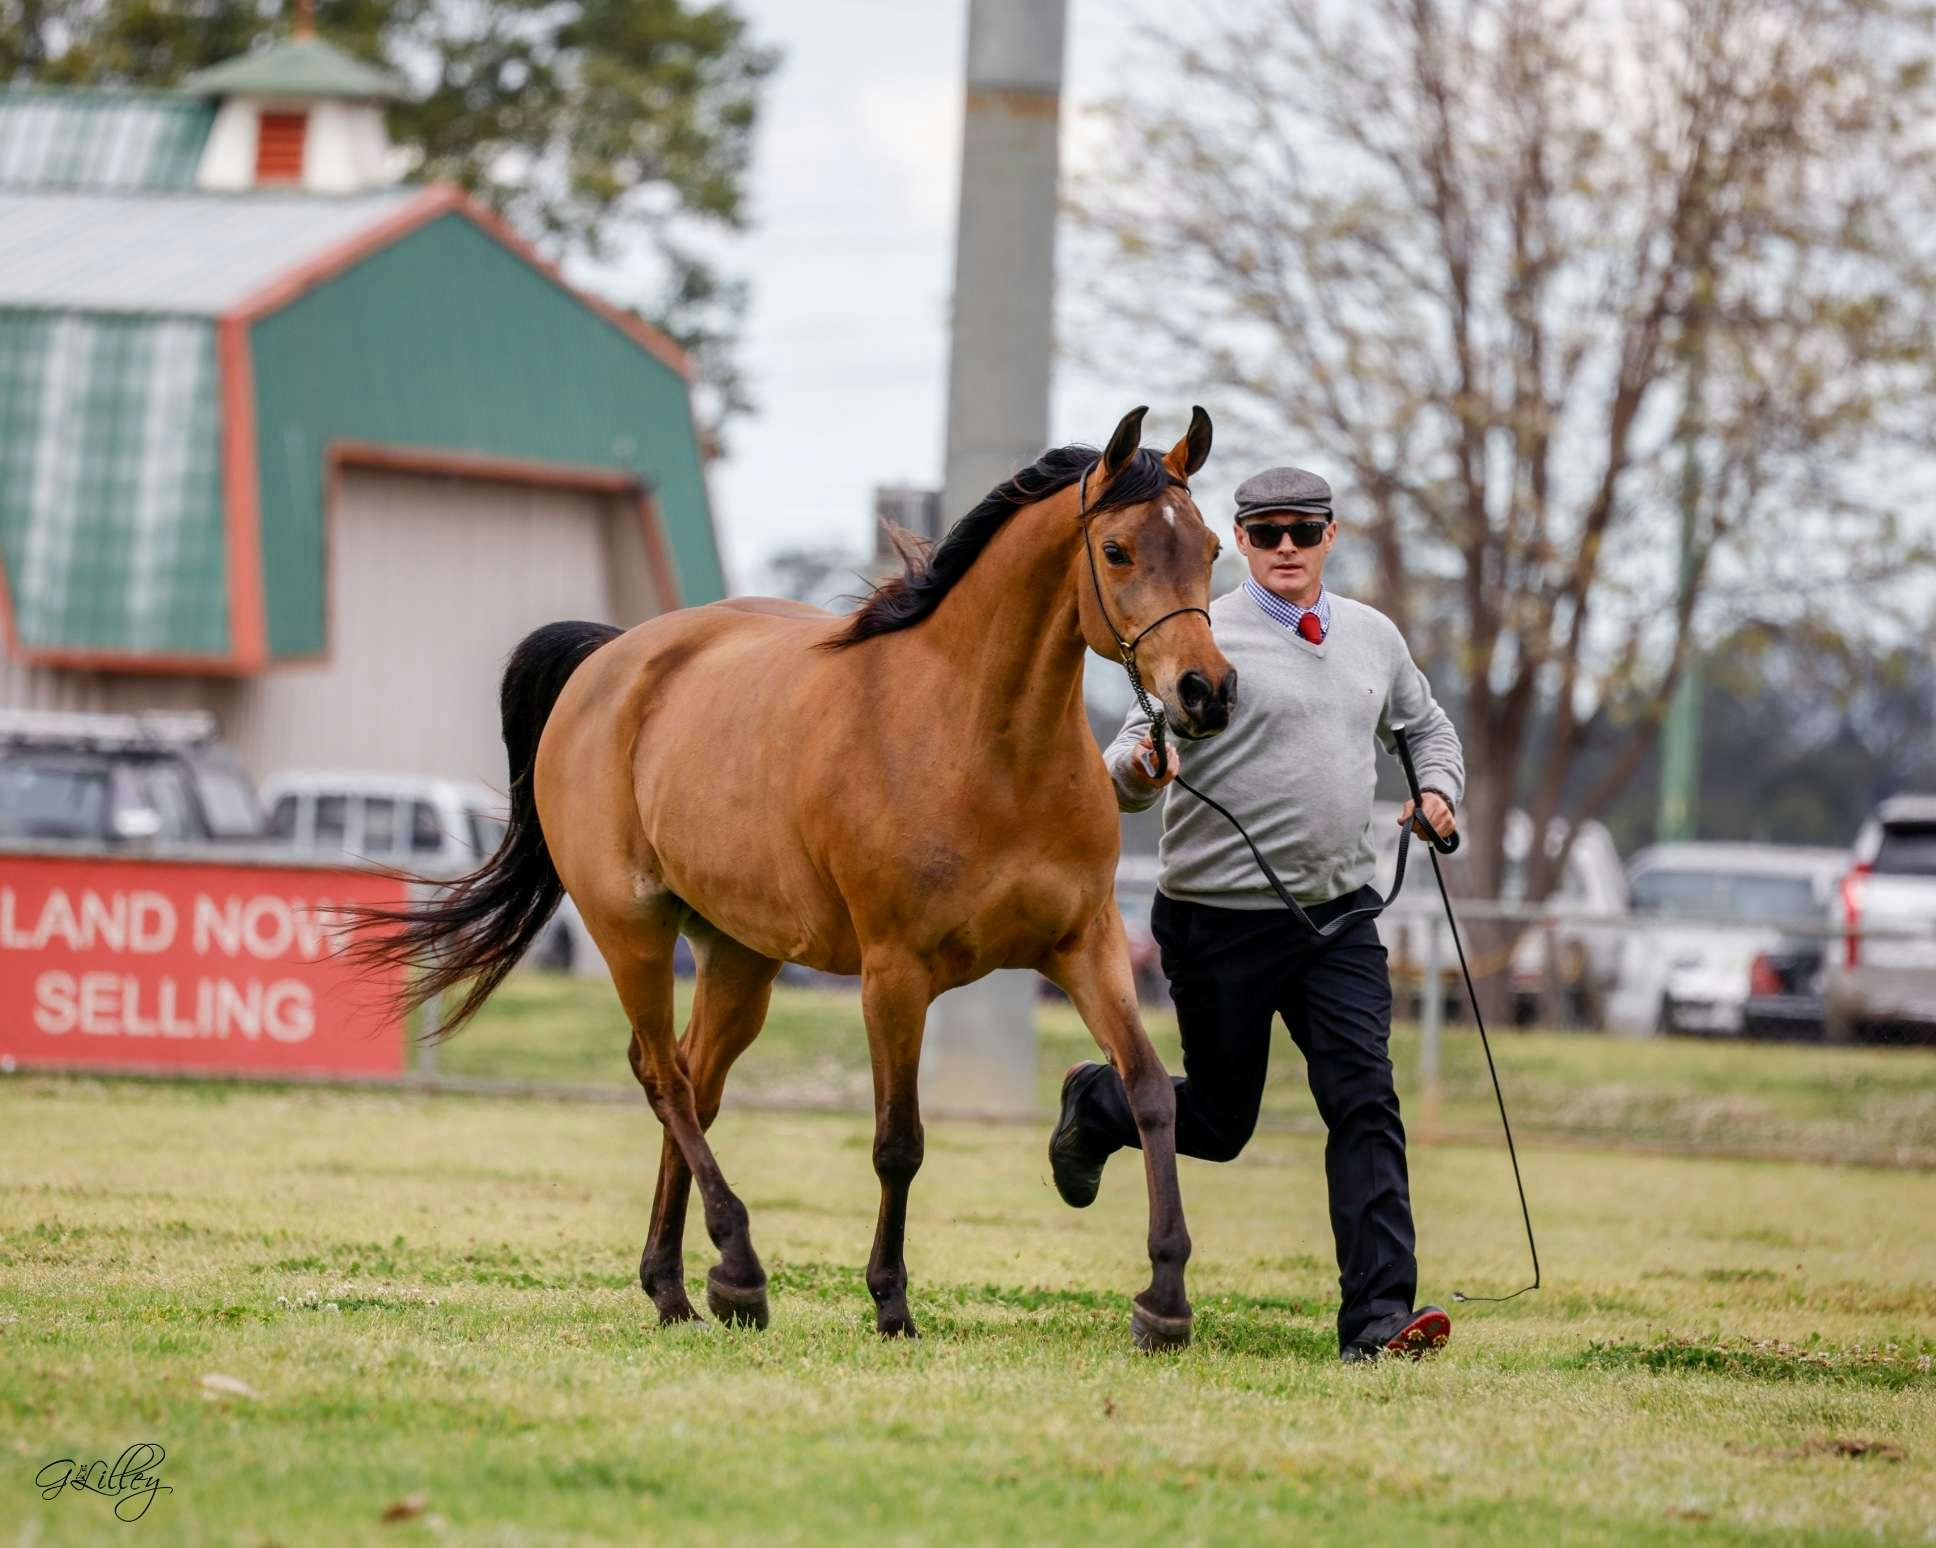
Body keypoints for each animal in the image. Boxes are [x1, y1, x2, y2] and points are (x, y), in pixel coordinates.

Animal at [362, 404, 1231, 1346]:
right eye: (1117, 549)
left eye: (1212, 546)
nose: (1205, 691)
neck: (982, 745)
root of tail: (610, 661)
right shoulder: (895, 974)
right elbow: (898, 1141)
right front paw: (889, 1301)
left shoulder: (1087, 946)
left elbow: (1150, 1092)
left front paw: (1165, 1298)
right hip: (632, 930)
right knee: (663, 1075)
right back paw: (738, 1270)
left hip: (739, 956)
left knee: (695, 1083)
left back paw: (674, 1286)